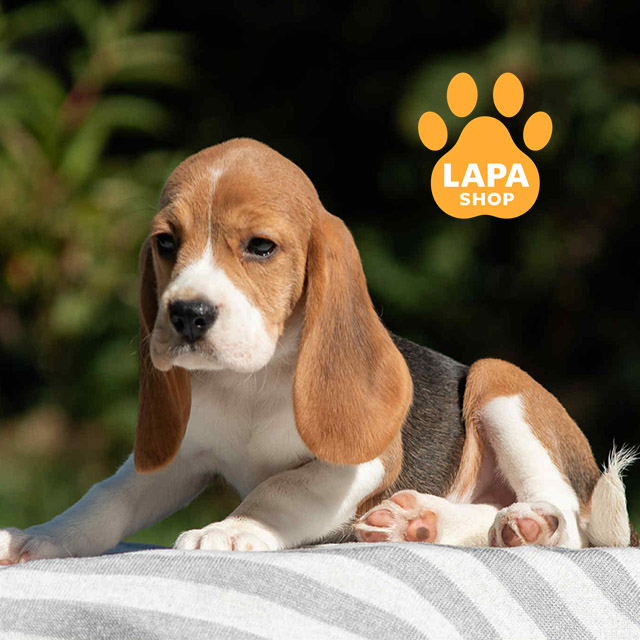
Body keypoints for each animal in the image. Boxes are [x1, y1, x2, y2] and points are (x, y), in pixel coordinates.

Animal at [0, 138, 635, 563]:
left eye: (260, 246)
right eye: (165, 243)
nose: (186, 314)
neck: (250, 381)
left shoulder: (359, 463)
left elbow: (278, 489)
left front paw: (229, 528)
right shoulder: (177, 461)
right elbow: (103, 499)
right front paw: (40, 538)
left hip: (498, 382)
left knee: (570, 520)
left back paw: (525, 524)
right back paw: (419, 522)